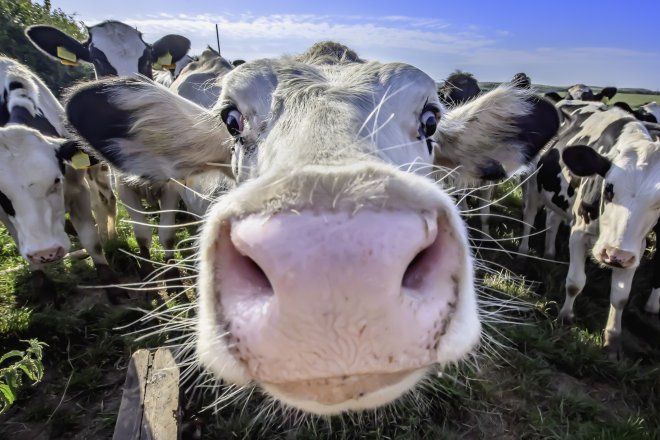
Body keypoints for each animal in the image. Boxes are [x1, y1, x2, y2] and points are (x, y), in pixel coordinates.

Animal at [0, 55, 118, 302]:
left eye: (56, 180)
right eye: (1, 194)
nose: (47, 253)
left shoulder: (78, 189)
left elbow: (91, 240)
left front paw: (114, 287)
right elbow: (20, 243)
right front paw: (44, 289)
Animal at [27, 20, 192, 278]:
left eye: (147, 58)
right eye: (97, 59)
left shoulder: (172, 184)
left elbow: (167, 234)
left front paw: (173, 276)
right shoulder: (123, 186)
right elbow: (143, 235)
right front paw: (148, 272)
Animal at [520, 99, 656, 354]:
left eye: (659, 201)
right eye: (609, 188)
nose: (614, 255)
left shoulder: (636, 250)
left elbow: (620, 297)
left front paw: (612, 340)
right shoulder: (578, 233)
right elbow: (575, 282)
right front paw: (565, 318)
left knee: (552, 221)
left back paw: (550, 254)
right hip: (532, 185)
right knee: (528, 218)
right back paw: (522, 254)